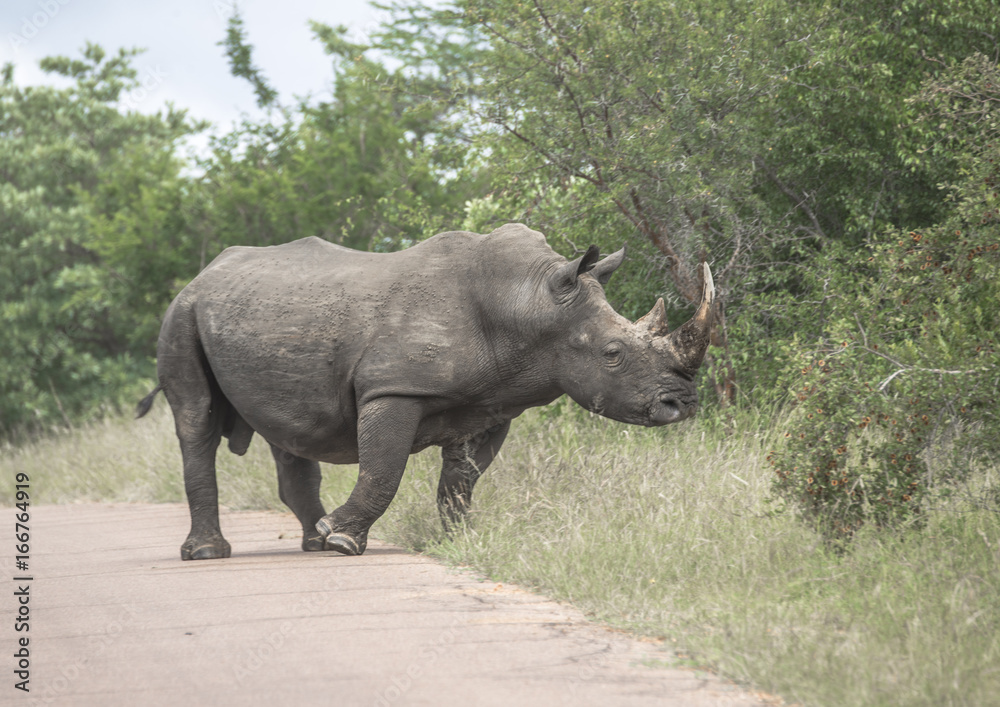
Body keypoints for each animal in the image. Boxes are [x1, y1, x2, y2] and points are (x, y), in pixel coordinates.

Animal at [137, 223, 715, 560]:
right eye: (613, 354)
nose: (681, 404)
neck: (526, 304)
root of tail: (203, 274)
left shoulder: (491, 402)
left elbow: (462, 480)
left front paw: (463, 540)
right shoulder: (394, 388)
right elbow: (384, 470)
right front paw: (345, 540)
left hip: (260, 318)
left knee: (290, 429)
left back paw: (311, 541)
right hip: (182, 313)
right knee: (196, 423)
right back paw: (211, 553)